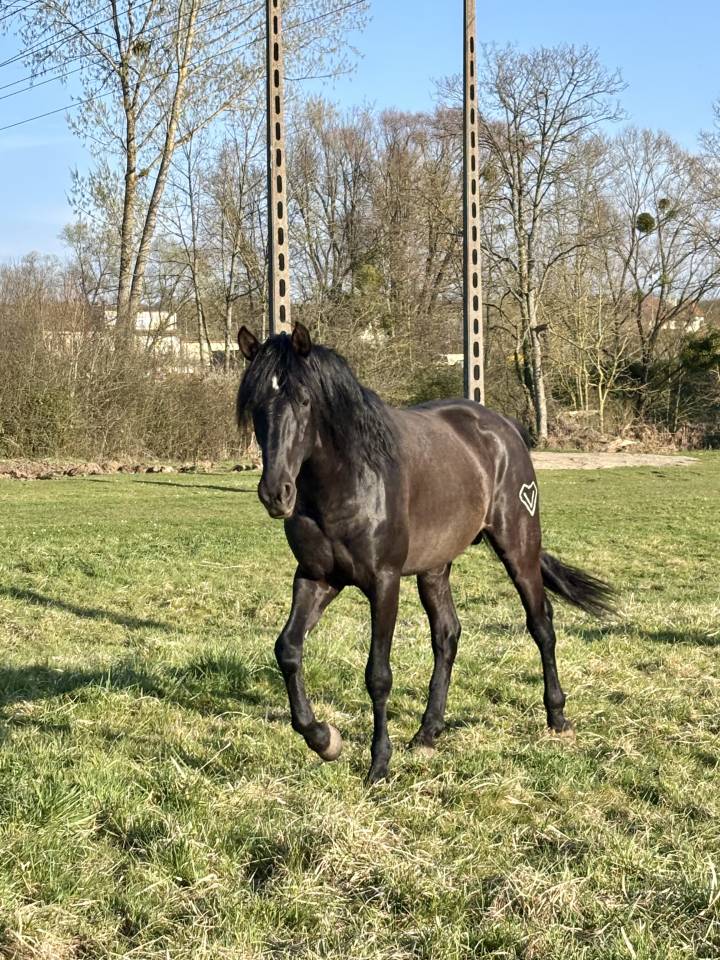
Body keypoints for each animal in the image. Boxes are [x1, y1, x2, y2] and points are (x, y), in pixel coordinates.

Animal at [236, 322, 614, 784]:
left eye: (304, 400)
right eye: (256, 404)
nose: (276, 493)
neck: (348, 479)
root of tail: (503, 428)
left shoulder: (384, 582)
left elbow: (378, 675)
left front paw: (378, 764)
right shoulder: (315, 577)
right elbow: (288, 650)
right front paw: (324, 739)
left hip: (519, 546)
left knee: (541, 624)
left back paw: (557, 718)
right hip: (435, 568)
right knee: (447, 636)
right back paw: (428, 732)